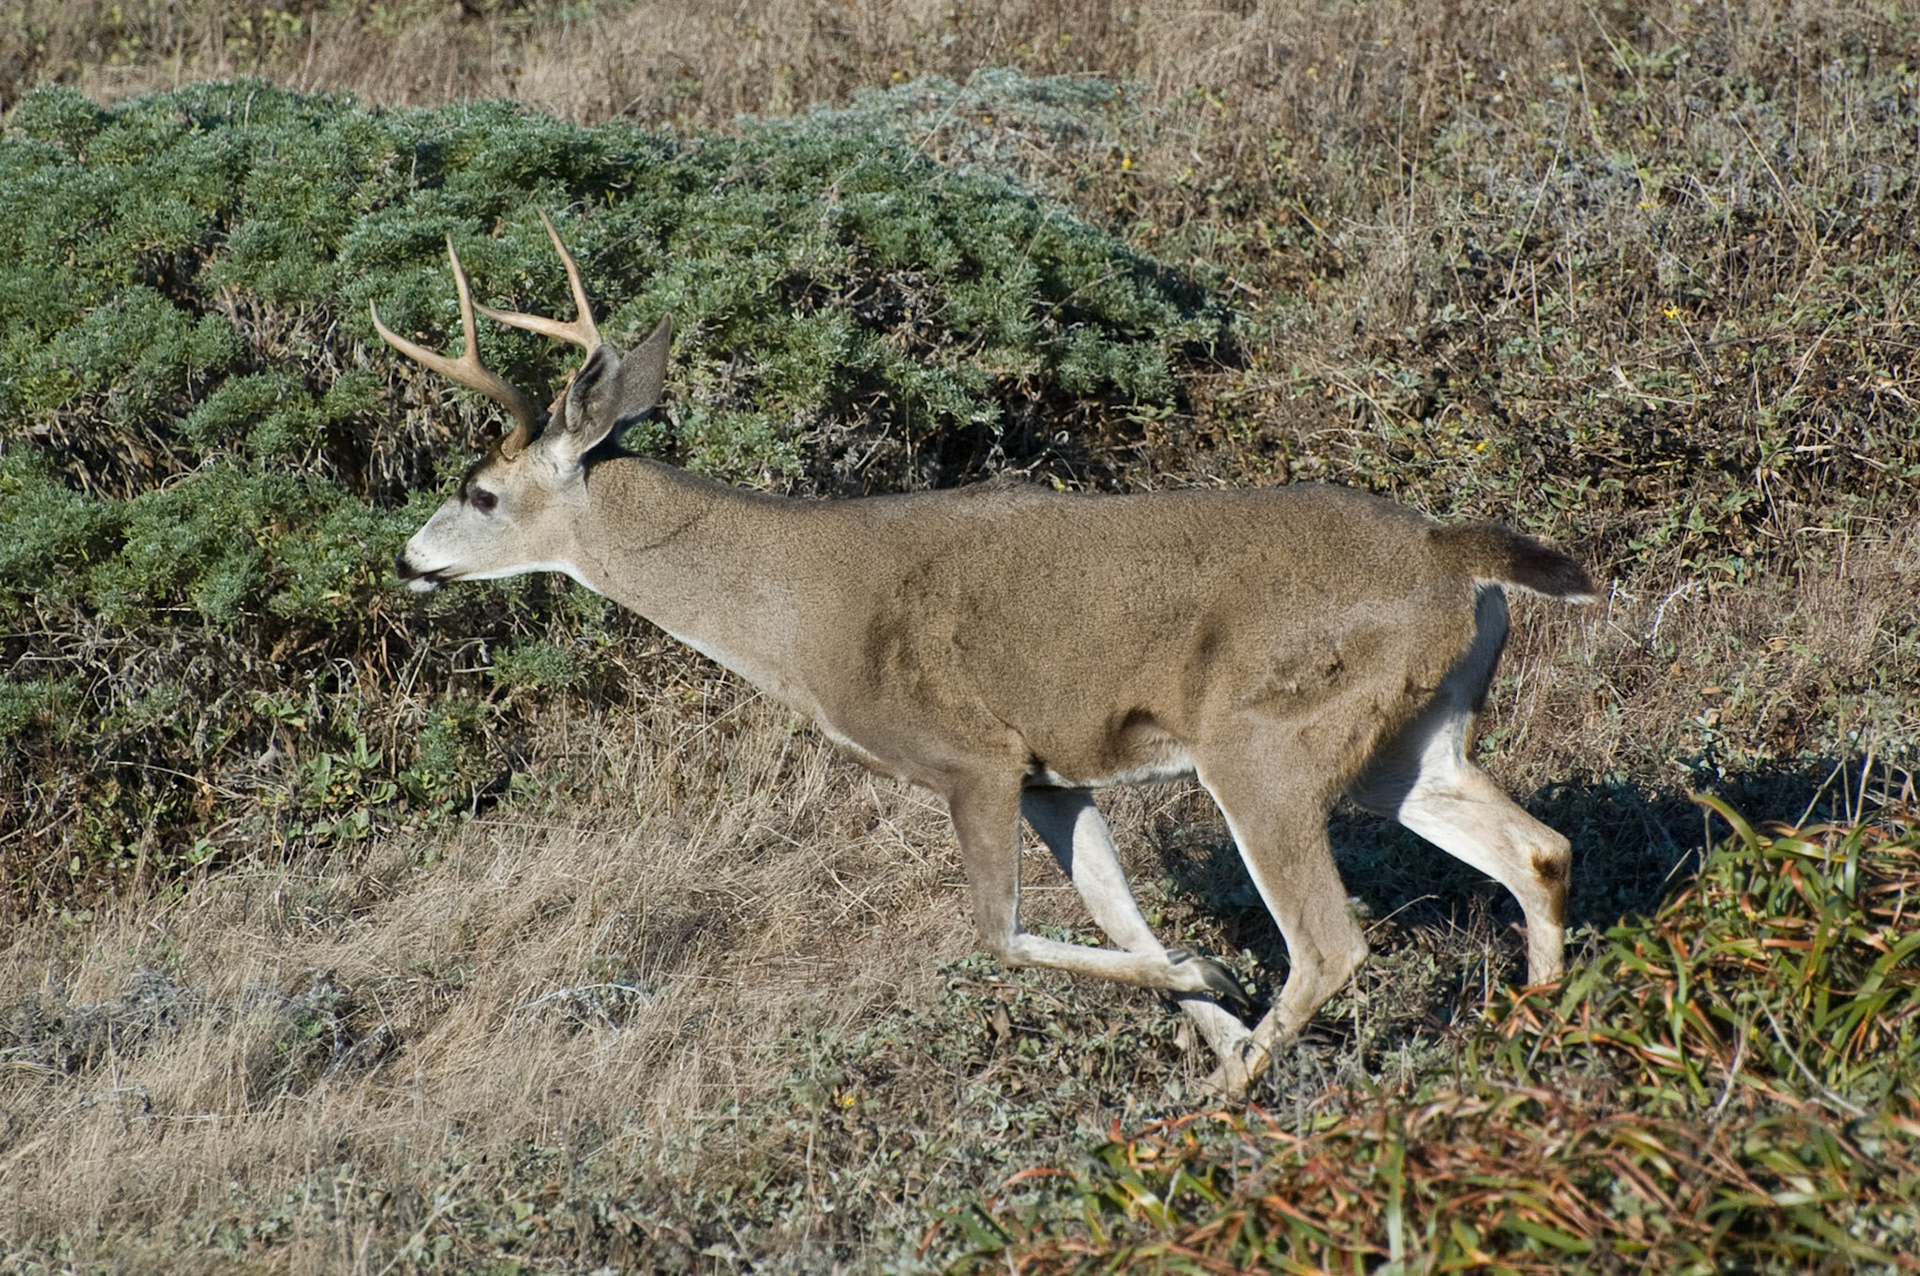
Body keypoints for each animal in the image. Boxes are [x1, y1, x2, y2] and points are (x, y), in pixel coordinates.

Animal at [372, 213, 1596, 1096]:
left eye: (480, 492)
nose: (407, 559)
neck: (804, 609)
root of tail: (1454, 556)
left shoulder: (975, 756)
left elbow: (1001, 935)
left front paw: (1210, 1001)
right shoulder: (1057, 774)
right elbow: (1119, 914)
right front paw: (1202, 993)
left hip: (1263, 740)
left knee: (1333, 942)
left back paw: (1219, 1103)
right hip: (1407, 740)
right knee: (1537, 849)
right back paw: (1531, 1035)